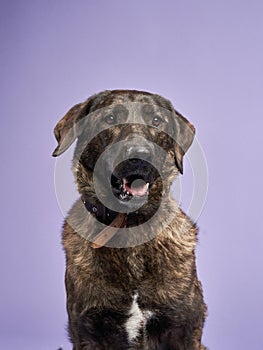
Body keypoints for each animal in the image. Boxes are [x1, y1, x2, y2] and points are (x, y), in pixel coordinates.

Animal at [52, 89, 207, 348]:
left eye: (156, 120)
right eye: (110, 118)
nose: (140, 155)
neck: (131, 225)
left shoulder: (181, 329)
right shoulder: (89, 332)